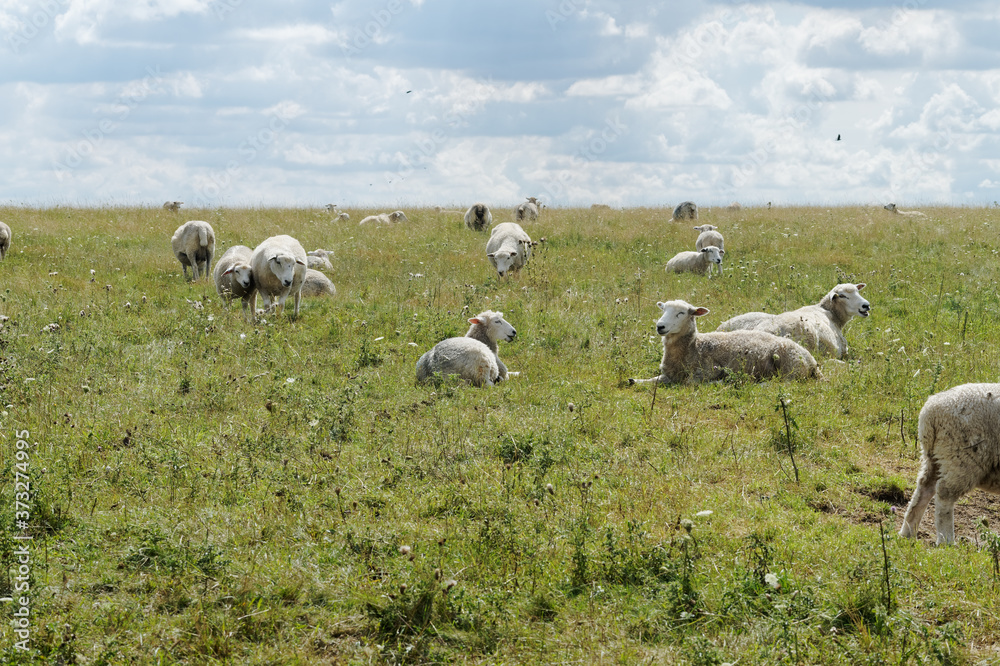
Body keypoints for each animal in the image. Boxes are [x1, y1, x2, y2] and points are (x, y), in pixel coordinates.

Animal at [630, 300, 822, 386]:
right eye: (664, 310)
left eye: (681, 313)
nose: (660, 326)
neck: (694, 347)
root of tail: (812, 361)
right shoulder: (668, 375)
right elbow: (649, 380)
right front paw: (634, 380)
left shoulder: (706, 371)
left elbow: (689, 383)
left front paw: (719, 382)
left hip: (790, 367)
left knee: (782, 383)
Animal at [899, 383, 1000, 545]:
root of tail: (930, 411)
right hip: (961, 457)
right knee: (944, 495)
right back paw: (946, 541)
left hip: (936, 457)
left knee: (923, 488)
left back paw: (907, 532)